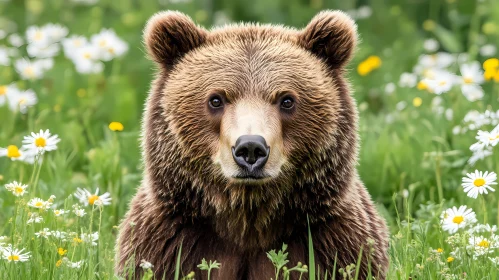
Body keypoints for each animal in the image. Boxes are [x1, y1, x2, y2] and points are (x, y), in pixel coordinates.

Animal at [116, 9, 390, 278]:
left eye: (287, 100)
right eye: (216, 99)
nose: (250, 148)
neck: (247, 220)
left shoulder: (332, 239)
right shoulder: (169, 239)